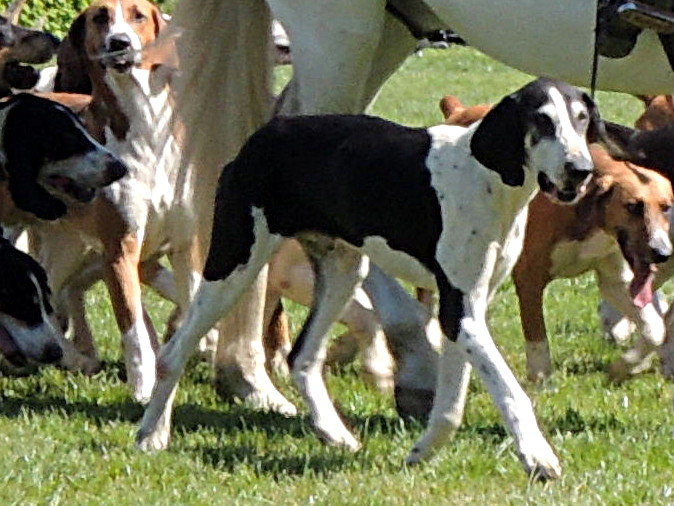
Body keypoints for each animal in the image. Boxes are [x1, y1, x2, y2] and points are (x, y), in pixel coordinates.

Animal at [23, 0, 194, 404]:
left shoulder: (183, 245)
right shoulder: (120, 249)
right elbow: (133, 330)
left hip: (66, 245)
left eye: (138, 16)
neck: (146, 131)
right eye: (100, 17)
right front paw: (144, 388)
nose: (119, 43)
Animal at [438, 94, 672, 384]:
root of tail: (458, 110)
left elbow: (655, 329)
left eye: (666, 207)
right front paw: (541, 382)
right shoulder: (529, 277)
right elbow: (537, 339)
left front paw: (625, 365)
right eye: (632, 206)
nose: (662, 252)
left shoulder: (615, 281)